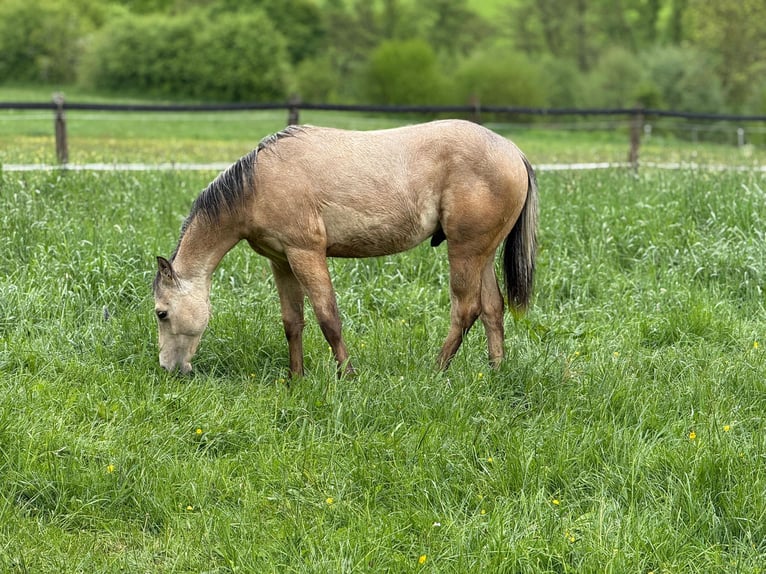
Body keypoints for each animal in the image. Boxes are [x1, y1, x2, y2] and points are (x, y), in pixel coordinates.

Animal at [153, 119, 538, 377]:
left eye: (161, 313)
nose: (169, 368)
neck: (257, 185)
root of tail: (513, 151)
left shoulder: (306, 254)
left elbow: (328, 318)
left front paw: (347, 375)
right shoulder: (282, 262)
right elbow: (293, 321)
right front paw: (296, 378)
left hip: (465, 252)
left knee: (465, 309)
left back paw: (437, 369)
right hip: (482, 254)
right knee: (492, 309)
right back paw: (495, 372)